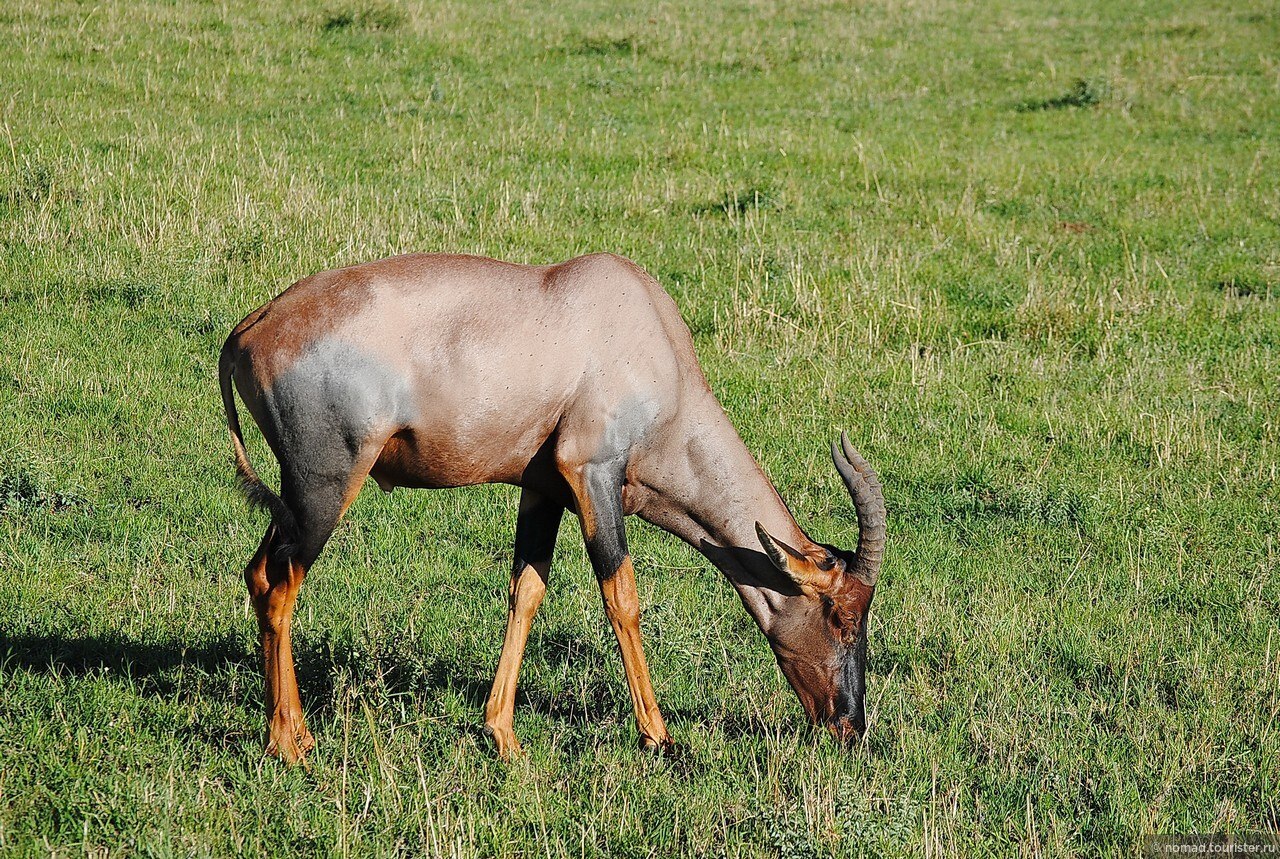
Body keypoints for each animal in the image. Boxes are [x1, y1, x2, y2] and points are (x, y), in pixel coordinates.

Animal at [217, 252, 880, 762]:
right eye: (842, 617)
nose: (850, 727)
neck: (639, 325)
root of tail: (250, 329)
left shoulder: (545, 490)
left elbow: (527, 590)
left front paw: (503, 736)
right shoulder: (592, 473)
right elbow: (622, 597)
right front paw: (660, 738)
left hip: (294, 495)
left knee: (256, 573)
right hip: (325, 485)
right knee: (280, 582)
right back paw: (290, 743)